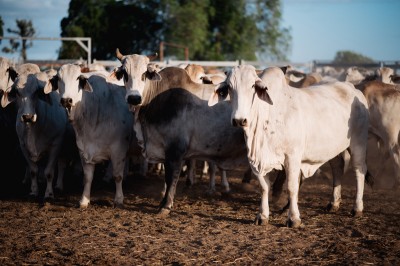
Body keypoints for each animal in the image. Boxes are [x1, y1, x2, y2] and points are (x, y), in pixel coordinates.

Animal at [1, 70, 69, 200]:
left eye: (36, 92)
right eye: (17, 92)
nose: (28, 117)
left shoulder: (56, 145)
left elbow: (49, 172)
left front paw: (49, 193)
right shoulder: (23, 146)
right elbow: (33, 170)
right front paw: (33, 191)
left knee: (62, 165)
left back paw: (59, 185)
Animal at [44, 62, 134, 208]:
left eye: (78, 78)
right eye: (58, 79)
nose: (66, 100)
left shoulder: (119, 150)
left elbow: (117, 176)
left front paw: (119, 199)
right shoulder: (83, 150)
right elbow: (87, 177)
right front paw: (84, 200)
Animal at [112, 50, 250, 215]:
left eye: (144, 73)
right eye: (125, 73)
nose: (134, 98)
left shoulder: (175, 150)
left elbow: (172, 177)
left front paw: (166, 205)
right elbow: (167, 177)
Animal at [209, 65, 368, 229]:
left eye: (252, 85)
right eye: (229, 87)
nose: (239, 120)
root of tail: (353, 89)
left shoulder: (292, 157)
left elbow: (291, 187)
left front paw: (293, 218)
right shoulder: (256, 160)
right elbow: (264, 187)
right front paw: (262, 215)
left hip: (358, 143)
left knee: (359, 171)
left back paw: (357, 208)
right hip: (332, 149)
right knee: (337, 168)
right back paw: (333, 203)